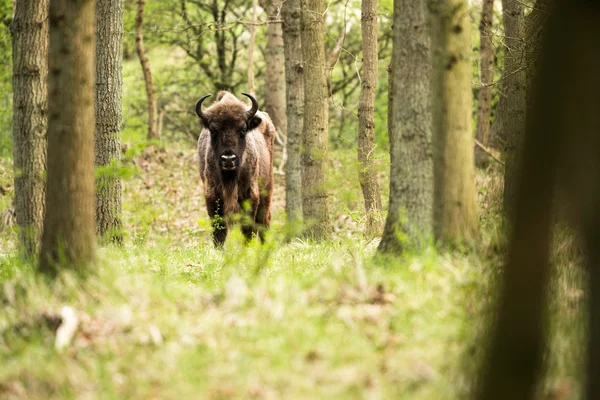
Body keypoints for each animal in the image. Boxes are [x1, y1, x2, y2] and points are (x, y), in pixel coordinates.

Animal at [196, 92, 276, 245]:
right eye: (213, 131)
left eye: (243, 129)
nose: (228, 159)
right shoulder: (213, 195)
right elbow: (219, 231)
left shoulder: (250, 195)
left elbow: (248, 229)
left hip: (267, 188)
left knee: (264, 221)